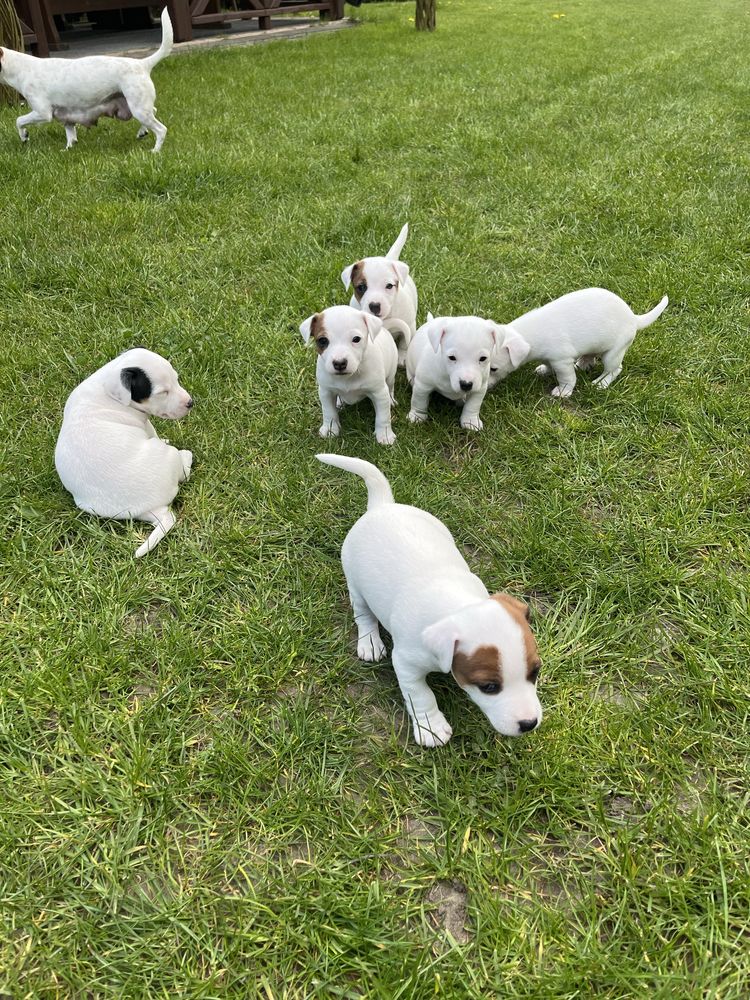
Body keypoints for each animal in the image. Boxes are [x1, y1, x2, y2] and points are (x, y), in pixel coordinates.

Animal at [0, 7, 172, 150]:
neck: (22, 68)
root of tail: (143, 63)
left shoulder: (42, 113)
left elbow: (19, 120)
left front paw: (24, 136)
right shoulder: (66, 116)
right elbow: (70, 135)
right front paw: (68, 149)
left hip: (138, 108)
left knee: (161, 129)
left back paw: (155, 151)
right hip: (136, 106)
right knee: (153, 112)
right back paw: (142, 132)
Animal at [56, 348, 197, 560]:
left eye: (176, 379)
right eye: (162, 392)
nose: (190, 402)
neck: (107, 385)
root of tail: (151, 506)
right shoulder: (144, 422)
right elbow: (153, 432)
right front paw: (165, 439)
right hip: (168, 457)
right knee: (183, 472)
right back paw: (186, 456)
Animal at [302, 304, 402, 446]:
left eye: (356, 339)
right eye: (322, 341)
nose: (339, 363)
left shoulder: (379, 393)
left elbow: (383, 416)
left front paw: (385, 435)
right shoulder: (326, 392)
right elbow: (329, 412)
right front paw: (330, 429)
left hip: (390, 374)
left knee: (390, 386)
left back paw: (392, 400)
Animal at [318, 458, 548, 748]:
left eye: (535, 671)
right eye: (489, 687)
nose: (529, 724)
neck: (457, 605)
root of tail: (382, 505)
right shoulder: (406, 664)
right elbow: (421, 695)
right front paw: (431, 727)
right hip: (355, 583)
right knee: (363, 614)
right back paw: (369, 642)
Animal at [490, 288, 672, 396]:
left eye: (493, 369)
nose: (485, 387)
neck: (527, 333)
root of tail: (633, 318)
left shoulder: (562, 361)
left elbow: (567, 378)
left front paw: (563, 391)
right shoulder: (551, 358)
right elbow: (548, 364)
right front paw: (544, 370)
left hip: (613, 354)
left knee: (614, 369)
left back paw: (601, 383)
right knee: (590, 356)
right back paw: (583, 363)